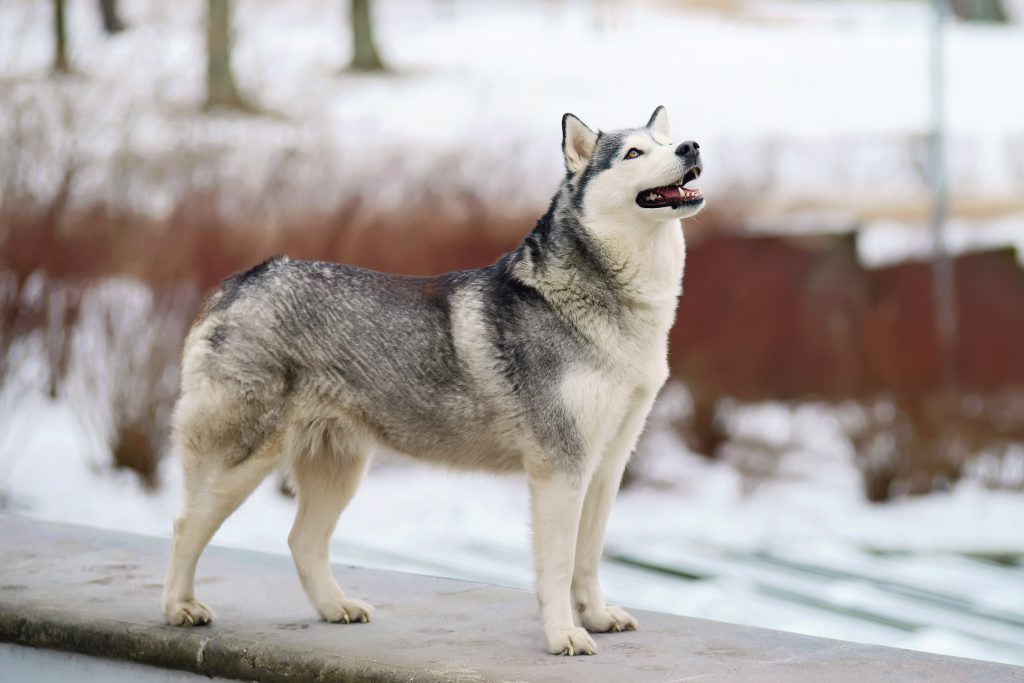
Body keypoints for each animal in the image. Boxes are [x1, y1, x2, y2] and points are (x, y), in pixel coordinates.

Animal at [163, 108, 704, 655]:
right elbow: (557, 567)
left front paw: (594, 617)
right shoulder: (560, 469)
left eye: (663, 142)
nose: (691, 146)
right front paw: (563, 634)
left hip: (339, 470)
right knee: (185, 525)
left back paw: (335, 607)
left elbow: (587, 560)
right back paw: (179, 607)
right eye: (633, 153)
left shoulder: (605, 466)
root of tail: (247, 278)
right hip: (241, 464)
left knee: (301, 541)